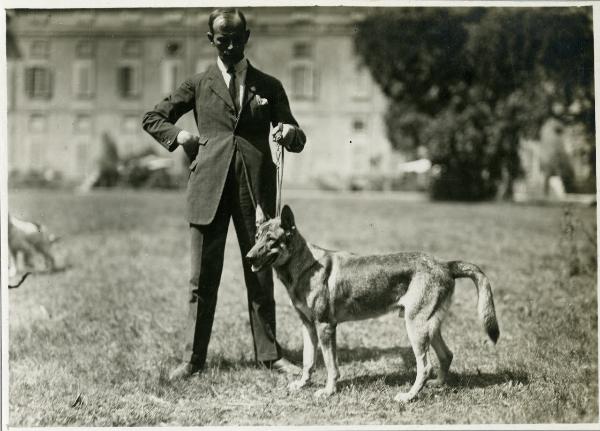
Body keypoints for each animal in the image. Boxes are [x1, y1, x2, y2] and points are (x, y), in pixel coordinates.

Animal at [246, 206, 500, 402]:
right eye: (257, 236)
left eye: (271, 240)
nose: (248, 258)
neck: (306, 266)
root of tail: (445, 265)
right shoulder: (308, 326)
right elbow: (309, 361)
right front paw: (302, 385)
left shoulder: (325, 327)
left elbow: (330, 365)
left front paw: (328, 391)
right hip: (429, 327)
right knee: (446, 355)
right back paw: (438, 385)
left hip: (416, 328)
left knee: (425, 366)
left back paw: (409, 396)